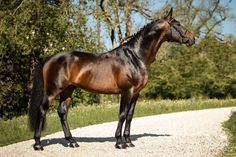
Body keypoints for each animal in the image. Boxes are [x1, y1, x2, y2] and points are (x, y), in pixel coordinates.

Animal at [29, 7, 195, 150]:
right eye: (178, 24)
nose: (192, 39)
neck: (136, 57)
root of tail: (50, 58)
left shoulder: (136, 93)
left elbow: (129, 116)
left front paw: (128, 142)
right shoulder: (127, 91)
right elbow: (122, 115)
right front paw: (119, 142)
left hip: (68, 90)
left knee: (62, 112)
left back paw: (72, 142)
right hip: (53, 90)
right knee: (42, 110)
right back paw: (38, 144)